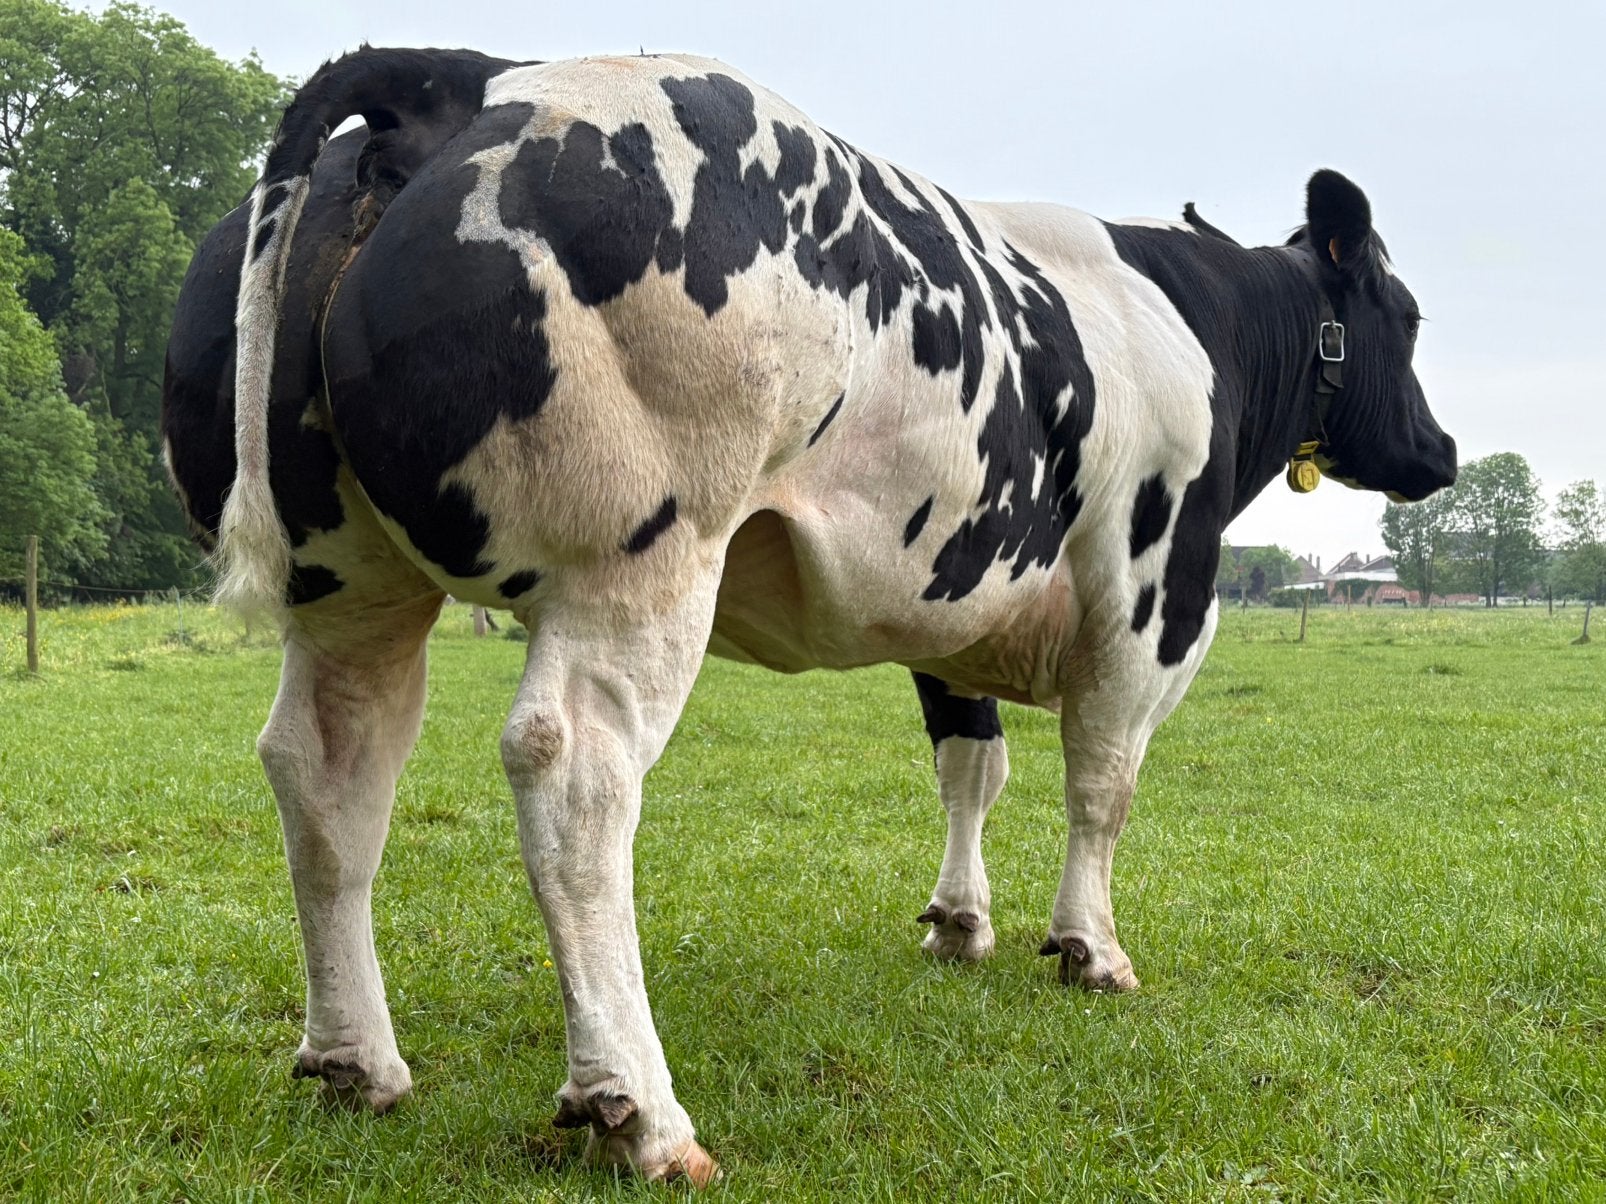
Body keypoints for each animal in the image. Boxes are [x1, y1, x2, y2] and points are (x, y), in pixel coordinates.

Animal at [161, 46, 1456, 1186]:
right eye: (1404, 314)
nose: (1440, 451)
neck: (1191, 322)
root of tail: (458, 78)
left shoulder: (953, 604)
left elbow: (970, 768)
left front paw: (958, 924)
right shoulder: (1149, 595)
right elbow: (1103, 785)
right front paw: (1088, 947)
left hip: (352, 582)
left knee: (327, 770)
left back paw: (354, 1062)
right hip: (636, 564)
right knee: (574, 775)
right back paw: (638, 1110)